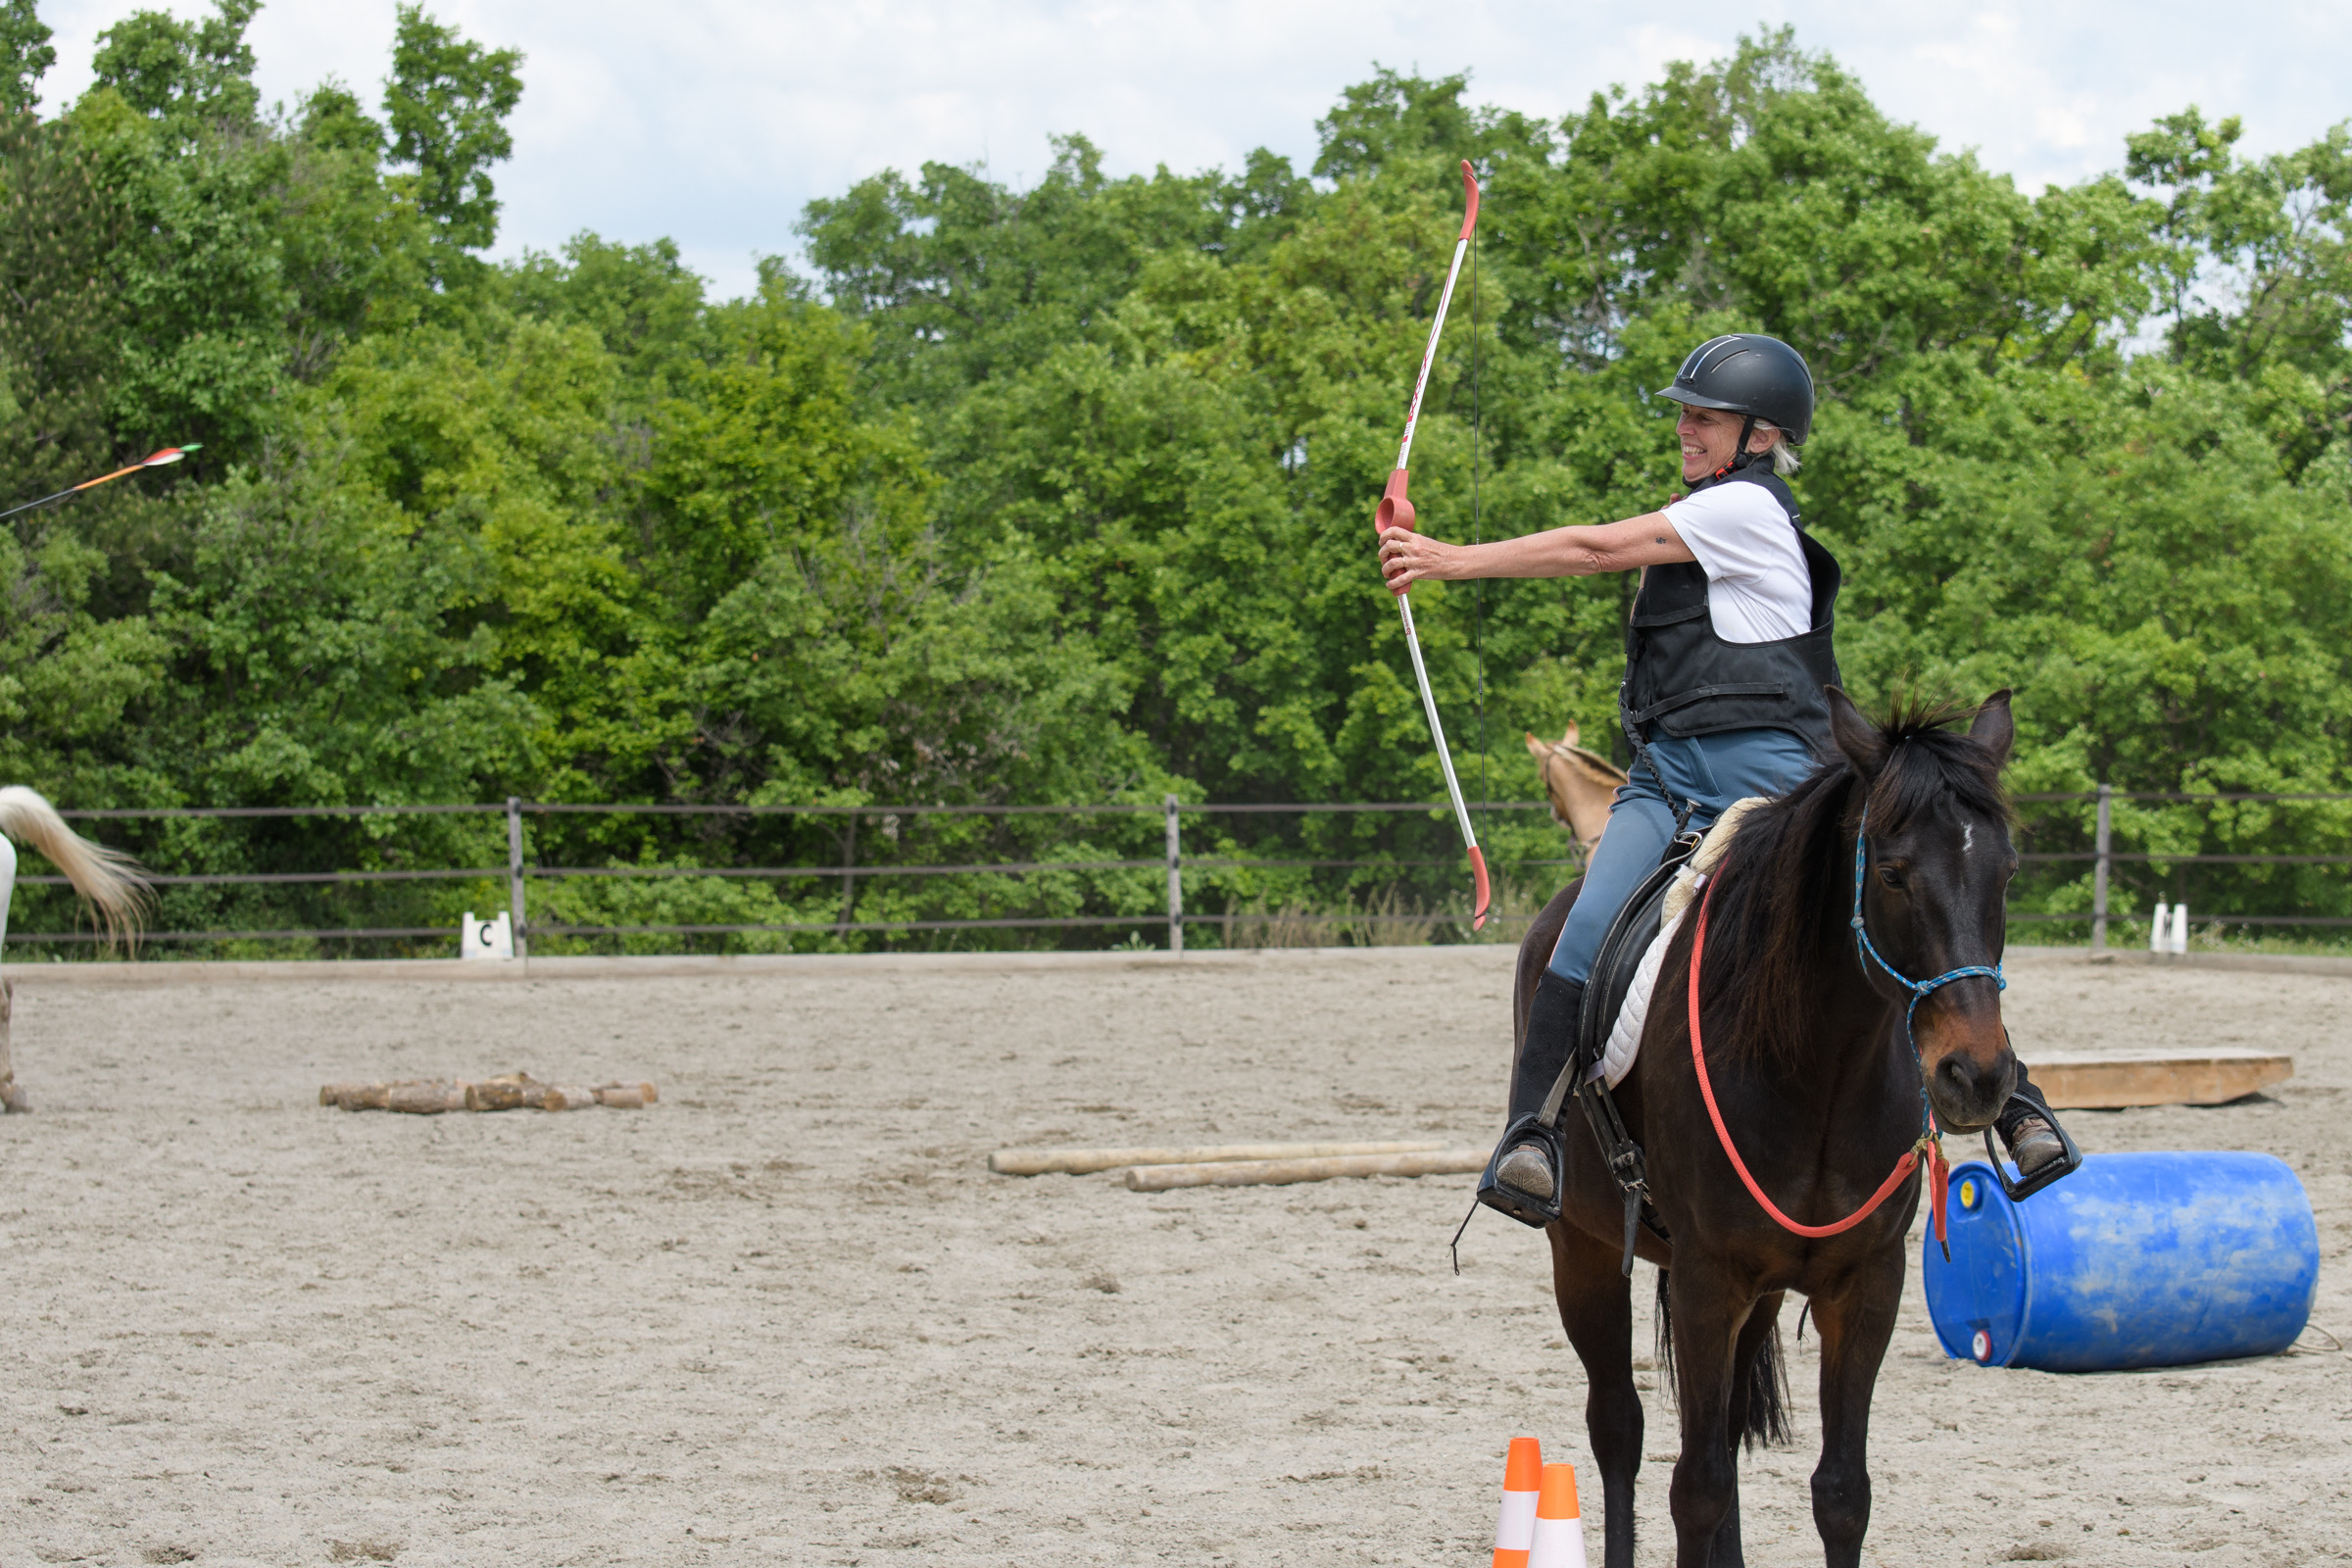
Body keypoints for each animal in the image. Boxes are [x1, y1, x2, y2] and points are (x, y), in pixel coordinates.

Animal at [1511, 689, 2017, 1568]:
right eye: (1893, 872)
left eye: (2007, 872)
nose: (1976, 1075)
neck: (1821, 1070)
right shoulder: (1708, 1281)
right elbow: (1696, 1485)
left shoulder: (1866, 1284)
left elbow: (1841, 1493)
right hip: (1584, 1252)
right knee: (1619, 1427)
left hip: (1766, 1291)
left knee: (1726, 1428)